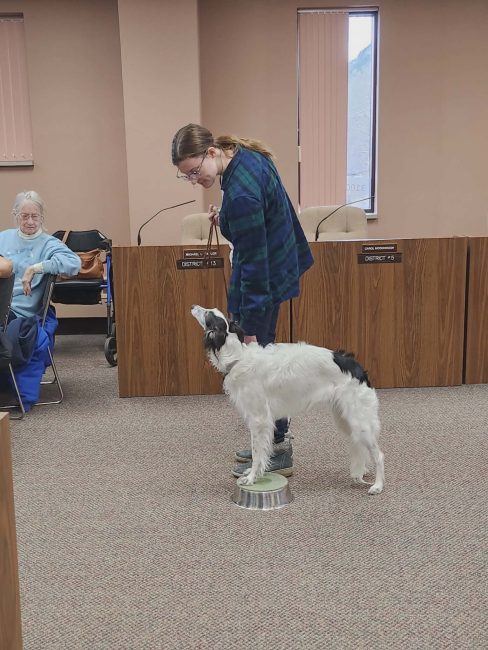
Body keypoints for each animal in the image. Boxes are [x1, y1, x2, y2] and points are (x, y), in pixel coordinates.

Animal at [191, 305, 384, 495]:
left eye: (207, 314)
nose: (193, 306)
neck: (238, 357)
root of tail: (358, 369)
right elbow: (259, 452)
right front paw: (254, 473)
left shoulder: (259, 420)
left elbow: (257, 453)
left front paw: (252, 478)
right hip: (345, 419)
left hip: (359, 422)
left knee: (379, 455)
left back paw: (378, 485)